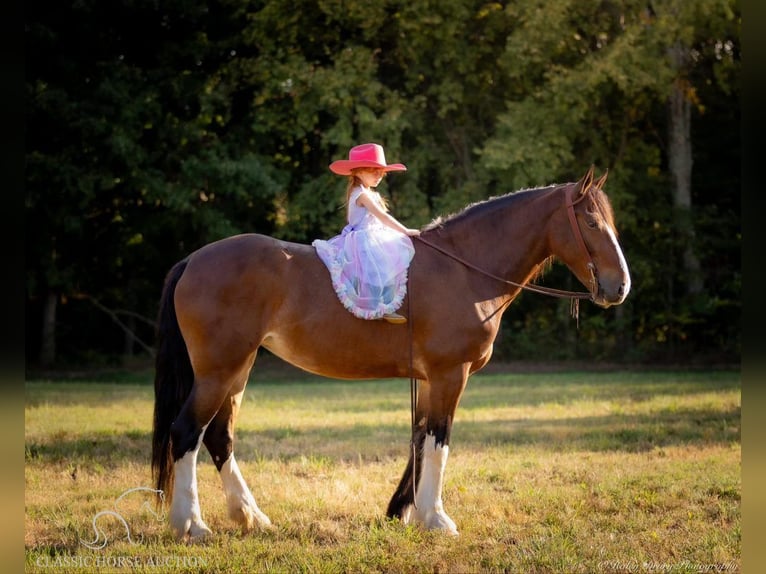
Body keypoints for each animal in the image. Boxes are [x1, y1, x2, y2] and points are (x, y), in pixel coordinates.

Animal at [150, 166, 632, 544]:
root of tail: (193, 260)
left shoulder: (429, 379)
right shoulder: (449, 375)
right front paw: (435, 518)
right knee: (186, 432)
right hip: (219, 370)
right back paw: (191, 524)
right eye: (591, 222)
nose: (620, 286)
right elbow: (439, 441)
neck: (463, 269)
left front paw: (404, 511)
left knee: (218, 436)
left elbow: (420, 439)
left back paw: (250, 516)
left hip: (239, 368)